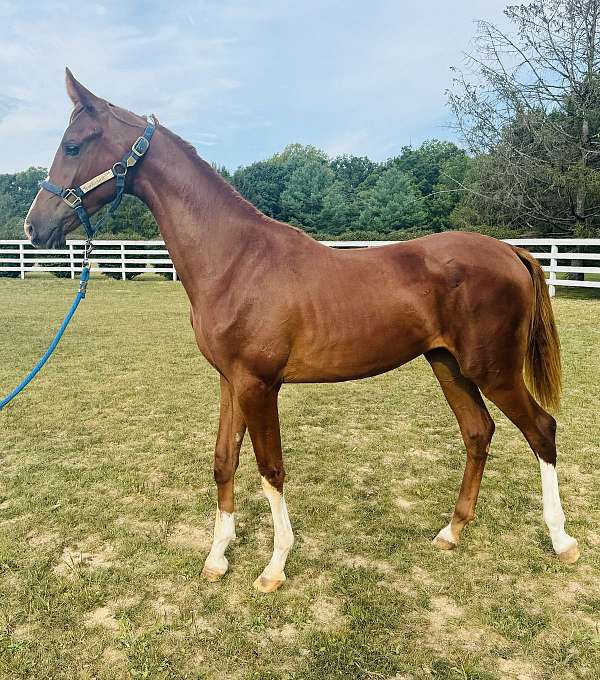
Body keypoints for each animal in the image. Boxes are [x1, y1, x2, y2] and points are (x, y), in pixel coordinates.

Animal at [24, 69, 580, 588]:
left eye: (73, 145)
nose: (34, 227)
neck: (235, 259)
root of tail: (510, 251)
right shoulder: (230, 381)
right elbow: (224, 460)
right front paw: (217, 557)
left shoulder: (258, 384)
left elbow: (271, 469)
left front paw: (274, 566)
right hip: (450, 365)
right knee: (478, 432)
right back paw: (452, 531)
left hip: (494, 370)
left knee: (542, 430)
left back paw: (562, 541)